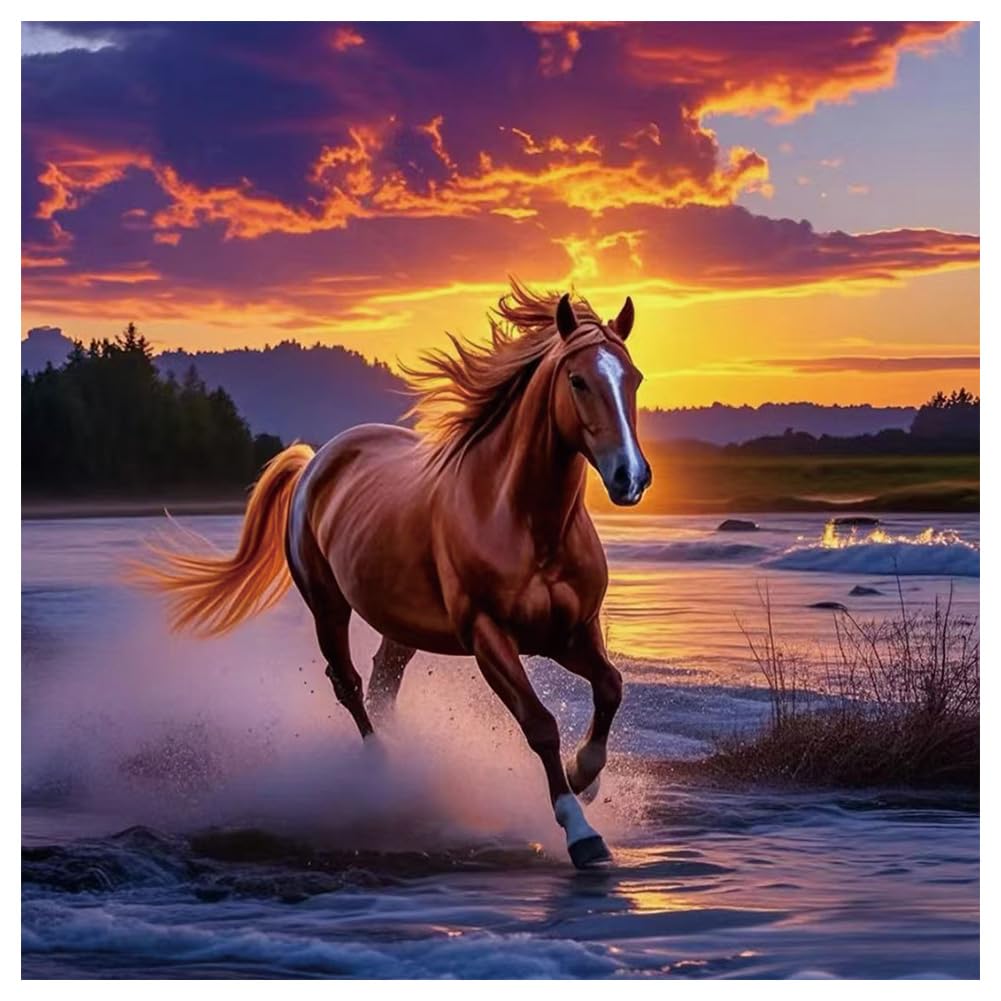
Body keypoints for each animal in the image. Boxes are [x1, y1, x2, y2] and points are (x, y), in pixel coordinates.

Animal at [138, 282, 651, 868]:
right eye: (578, 380)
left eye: (634, 377)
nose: (630, 477)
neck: (524, 521)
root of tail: (317, 461)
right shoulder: (489, 637)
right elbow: (539, 724)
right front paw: (581, 832)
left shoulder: (570, 631)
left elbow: (611, 686)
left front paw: (585, 777)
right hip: (327, 606)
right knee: (349, 685)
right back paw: (385, 773)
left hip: (402, 626)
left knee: (384, 682)